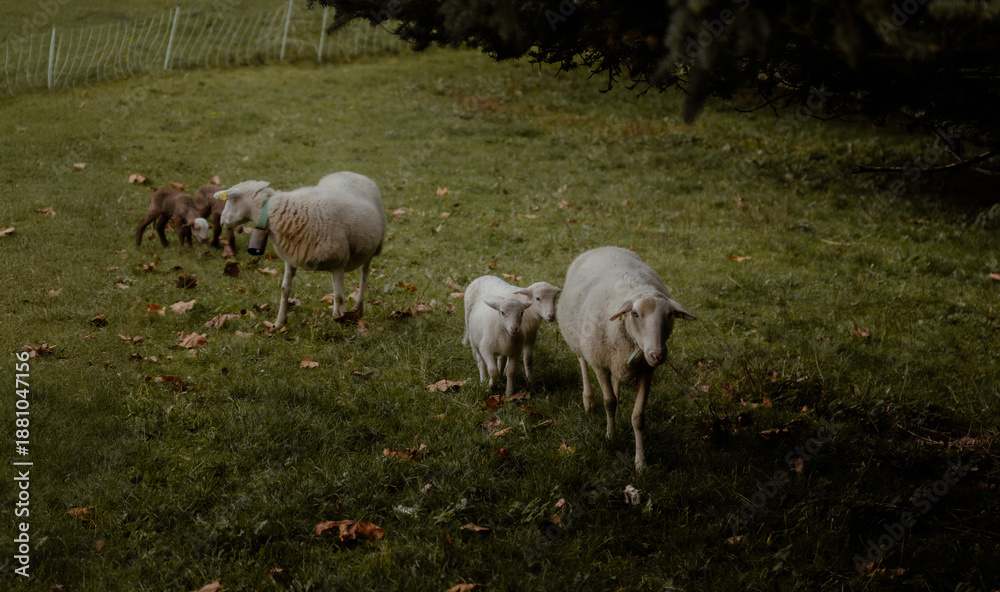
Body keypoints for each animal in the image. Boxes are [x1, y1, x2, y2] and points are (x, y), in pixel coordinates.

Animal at [214, 171, 386, 326]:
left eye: (230, 201)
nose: (222, 222)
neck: (275, 211)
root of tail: (353, 173)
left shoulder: (338, 259)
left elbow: (339, 296)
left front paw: (342, 324)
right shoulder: (292, 256)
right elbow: (285, 289)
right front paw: (279, 323)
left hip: (372, 248)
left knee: (364, 276)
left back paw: (357, 308)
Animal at [556, 246, 695, 470]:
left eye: (670, 315)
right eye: (635, 314)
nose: (657, 354)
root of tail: (603, 247)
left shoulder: (646, 370)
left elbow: (638, 417)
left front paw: (640, 463)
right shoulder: (600, 365)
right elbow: (609, 402)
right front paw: (611, 435)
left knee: (616, 380)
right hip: (579, 339)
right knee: (582, 362)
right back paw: (589, 400)